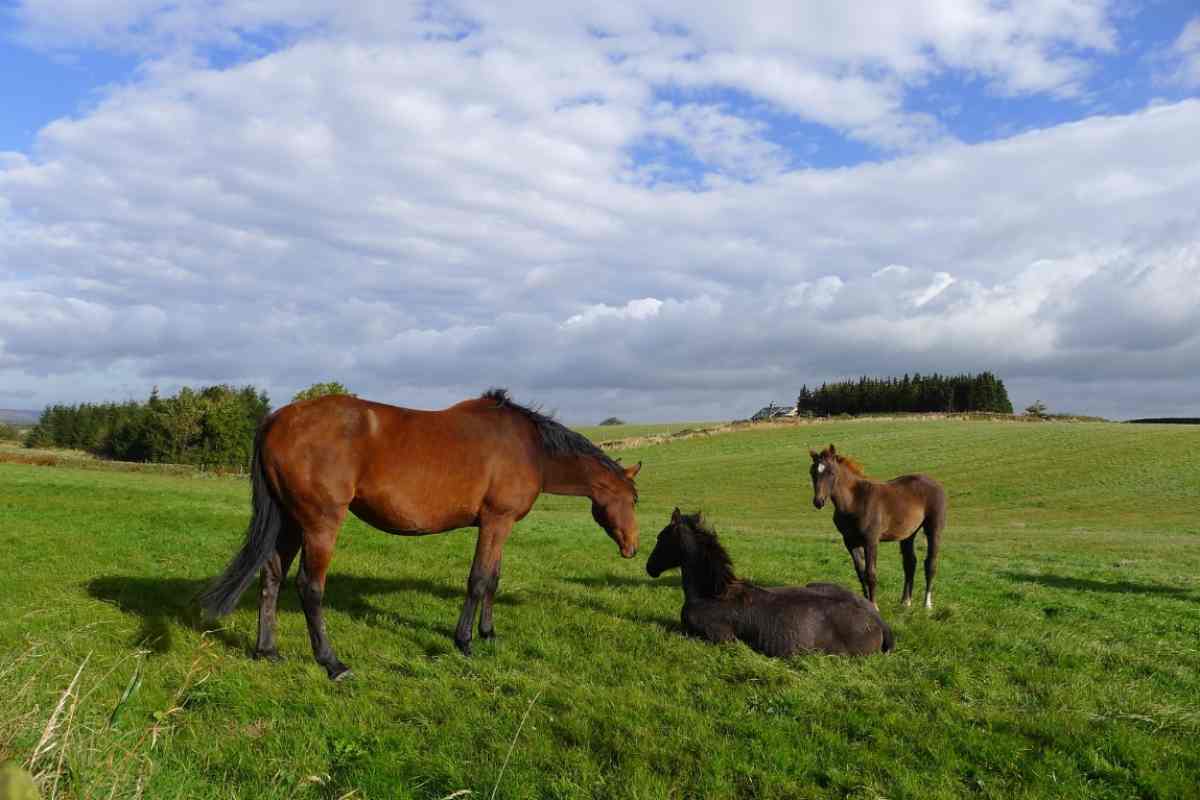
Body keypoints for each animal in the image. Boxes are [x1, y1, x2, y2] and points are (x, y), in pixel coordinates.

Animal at [201, 391, 643, 681]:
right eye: (634, 499)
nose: (633, 547)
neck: (530, 447)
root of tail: (276, 420)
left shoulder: (500, 526)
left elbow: (493, 580)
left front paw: (489, 634)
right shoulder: (496, 521)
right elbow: (478, 580)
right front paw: (465, 642)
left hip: (290, 522)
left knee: (271, 578)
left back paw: (267, 651)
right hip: (320, 523)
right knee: (309, 587)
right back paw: (332, 663)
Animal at [806, 448, 945, 609]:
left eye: (831, 472)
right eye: (812, 472)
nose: (818, 501)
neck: (854, 501)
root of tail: (936, 483)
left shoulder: (871, 540)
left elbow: (870, 573)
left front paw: (874, 605)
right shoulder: (850, 542)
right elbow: (861, 573)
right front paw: (865, 602)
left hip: (934, 529)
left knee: (931, 563)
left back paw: (927, 604)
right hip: (908, 534)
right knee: (910, 563)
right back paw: (905, 601)